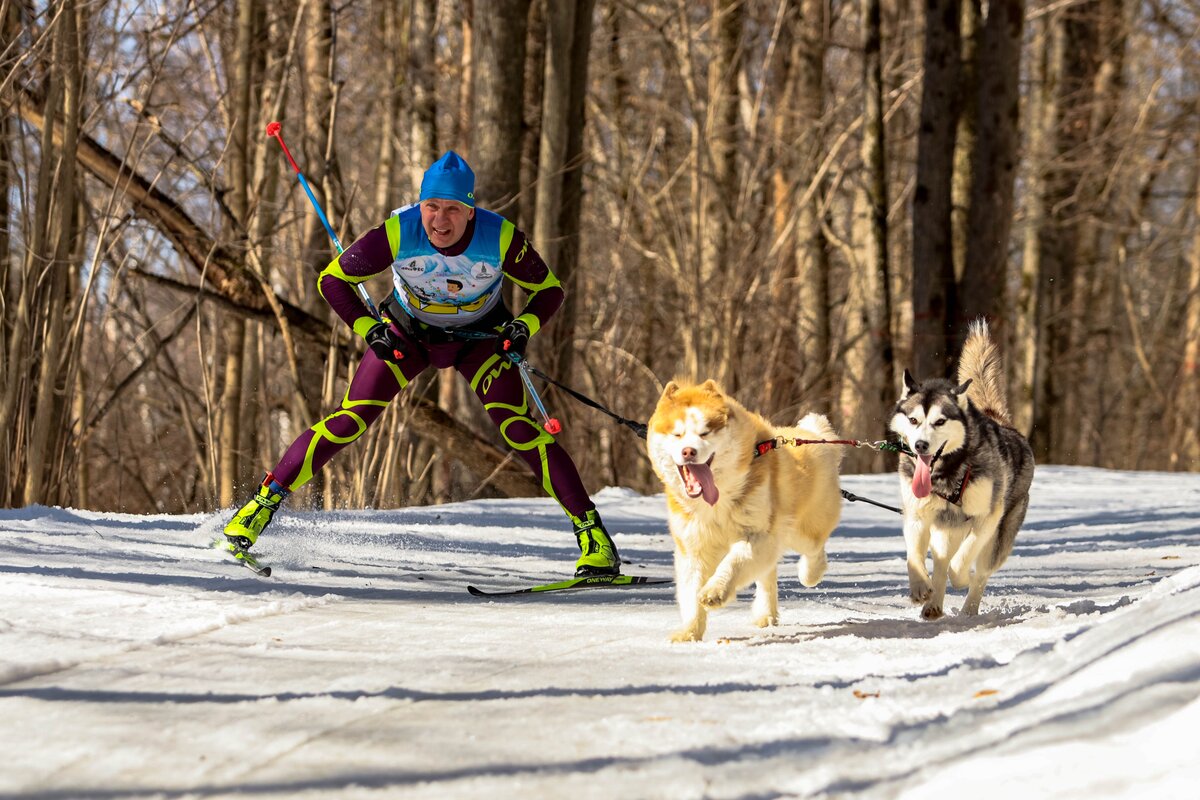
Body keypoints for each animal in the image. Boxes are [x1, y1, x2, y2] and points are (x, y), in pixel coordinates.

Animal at [646, 380, 844, 642]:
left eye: (705, 433)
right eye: (677, 434)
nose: (688, 451)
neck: (716, 500)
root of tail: (815, 437)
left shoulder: (759, 534)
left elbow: (734, 562)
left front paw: (715, 592)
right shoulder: (694, 545)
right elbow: (691, 592)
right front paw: (689, 632)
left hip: (798, 531)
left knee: (813, 550)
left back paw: (811, 573)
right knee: (769, 572)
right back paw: (765, 614)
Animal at [890, 320, 1035, 619]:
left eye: (940, 421)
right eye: (913, 420)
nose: (921, 445)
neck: (946, 476)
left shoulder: (987, 517)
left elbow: (963, 562)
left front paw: (961, 577)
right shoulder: (916, 515)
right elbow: (915, 555)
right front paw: (920, 586)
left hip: (999, 537)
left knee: (980, 571)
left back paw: (968, 608)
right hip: (944, 531)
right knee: (941, 562)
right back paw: (933, 603)